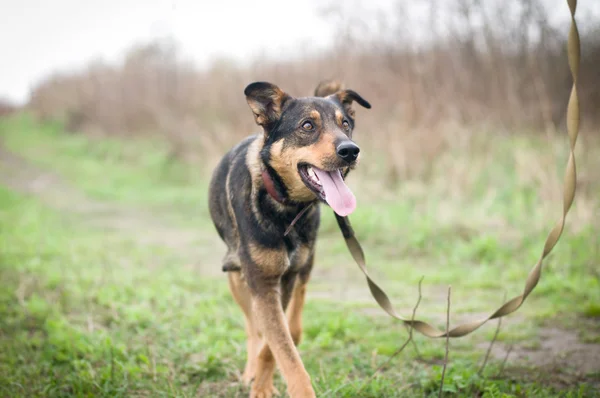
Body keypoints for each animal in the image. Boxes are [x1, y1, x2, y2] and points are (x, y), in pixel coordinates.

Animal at [210, 79, 370, 396]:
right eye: (307, 125)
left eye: (345, 124)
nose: (351, 150)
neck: (287, 207)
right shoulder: (262, 282)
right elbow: (279, 347)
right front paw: (262, 385)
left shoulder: (284, 280)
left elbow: (277, 346)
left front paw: (264, 383)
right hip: (235, 275)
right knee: (252, 326)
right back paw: (250, 369)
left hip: (304, 263)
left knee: (295, 311)